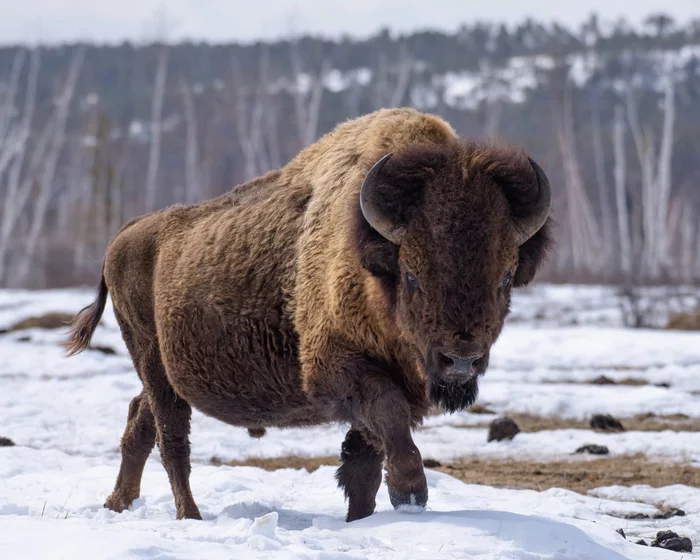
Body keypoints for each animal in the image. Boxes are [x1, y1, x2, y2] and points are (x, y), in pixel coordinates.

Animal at [67, 108, 556, 520]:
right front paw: (410, 494)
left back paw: (118, 503)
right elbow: (388, 421)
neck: (371, 256)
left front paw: (363, 518)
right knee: (173, 442)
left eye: (506, 276)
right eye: (412, 274)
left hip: (163, 375)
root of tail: (124, 236)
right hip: (153, 362)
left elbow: (363, 463)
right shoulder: (339, 368)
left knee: (140, 420)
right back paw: (190, 516)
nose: (461, 361)